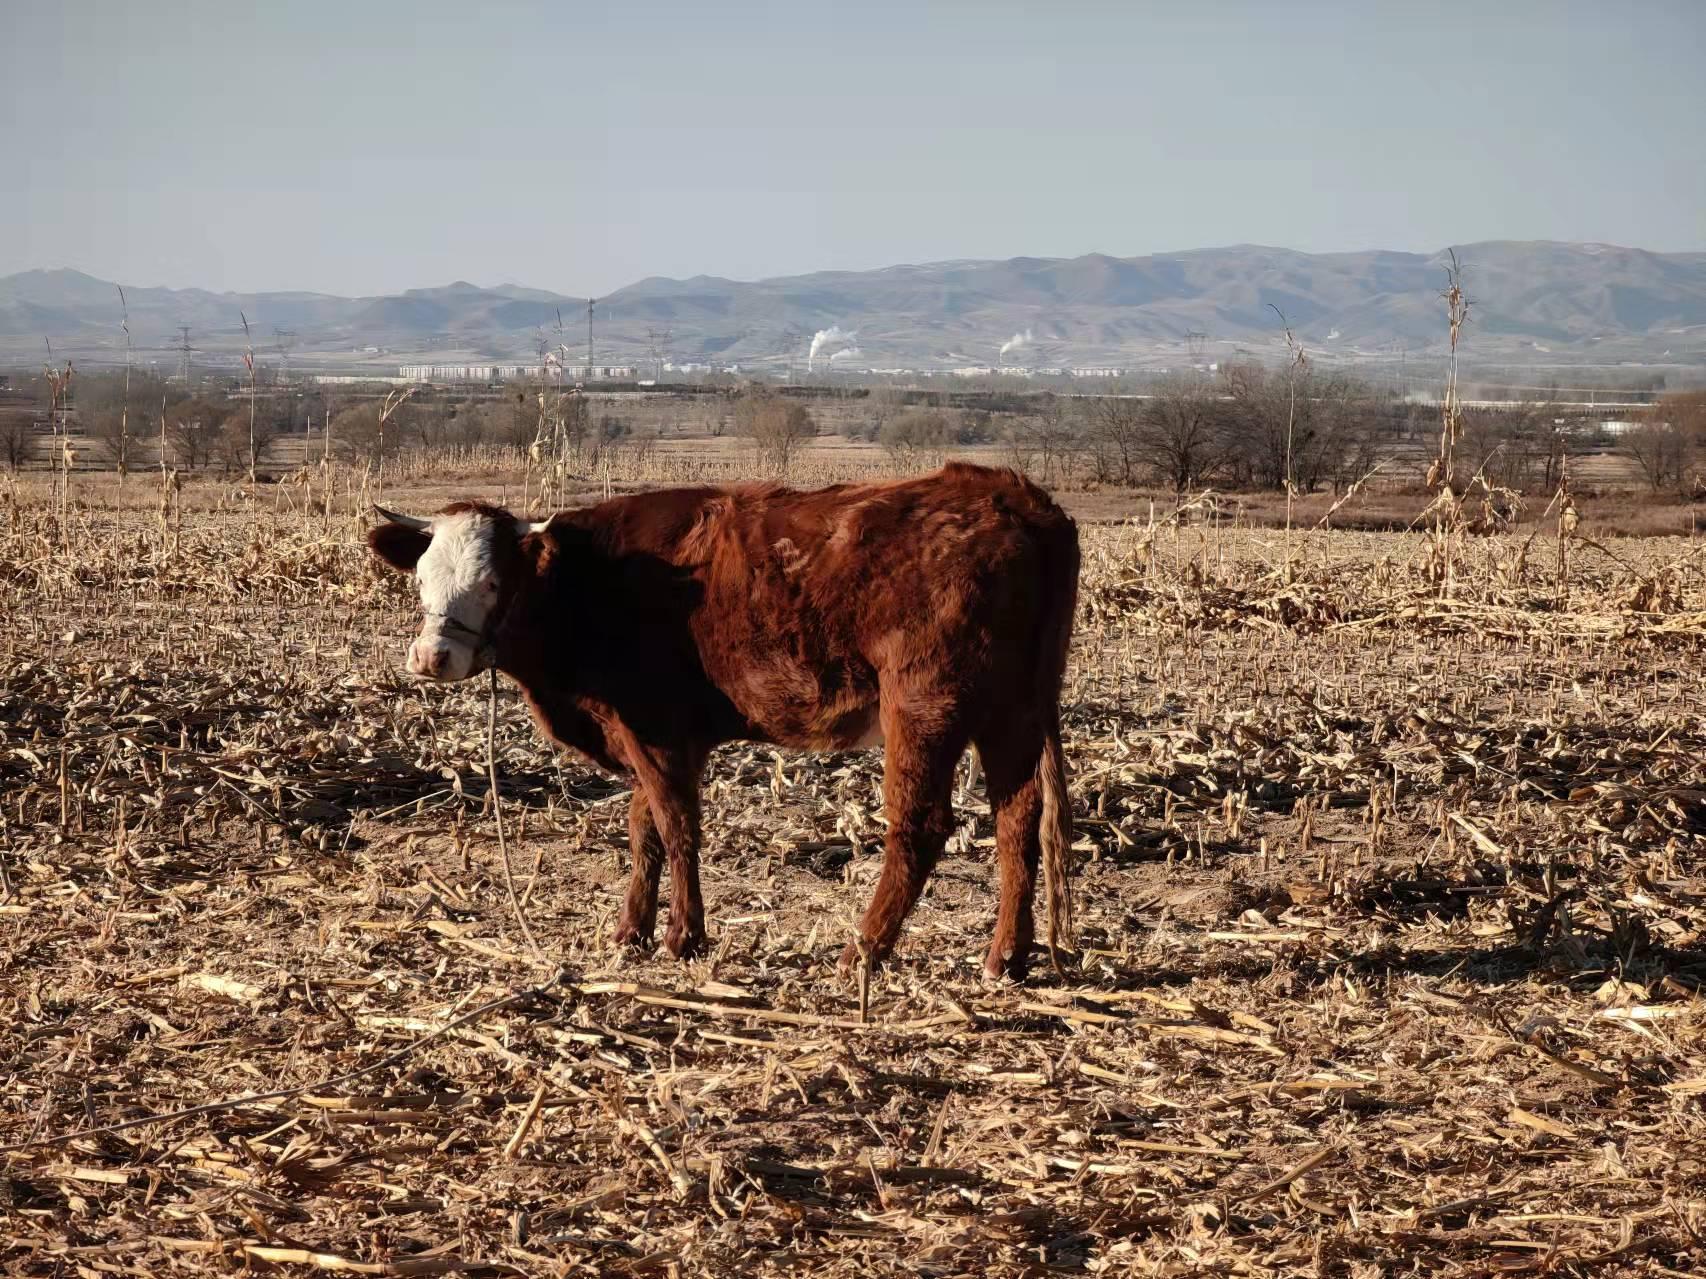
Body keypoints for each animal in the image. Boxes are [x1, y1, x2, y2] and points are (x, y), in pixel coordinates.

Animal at [370, 460, 1078, 982]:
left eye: (493, 582)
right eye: (422, 577)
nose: (432, 657)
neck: (593, 581)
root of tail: (1014, 495)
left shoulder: (656, 730)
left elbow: (678, 827)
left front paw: (684, 936)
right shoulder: (648, 736)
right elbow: (645, 831)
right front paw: (630, 931)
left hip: (923, 707)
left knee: (921, 825)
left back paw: (865, 949)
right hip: (1012, 712)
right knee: (1019, 819)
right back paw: (1006, 957)